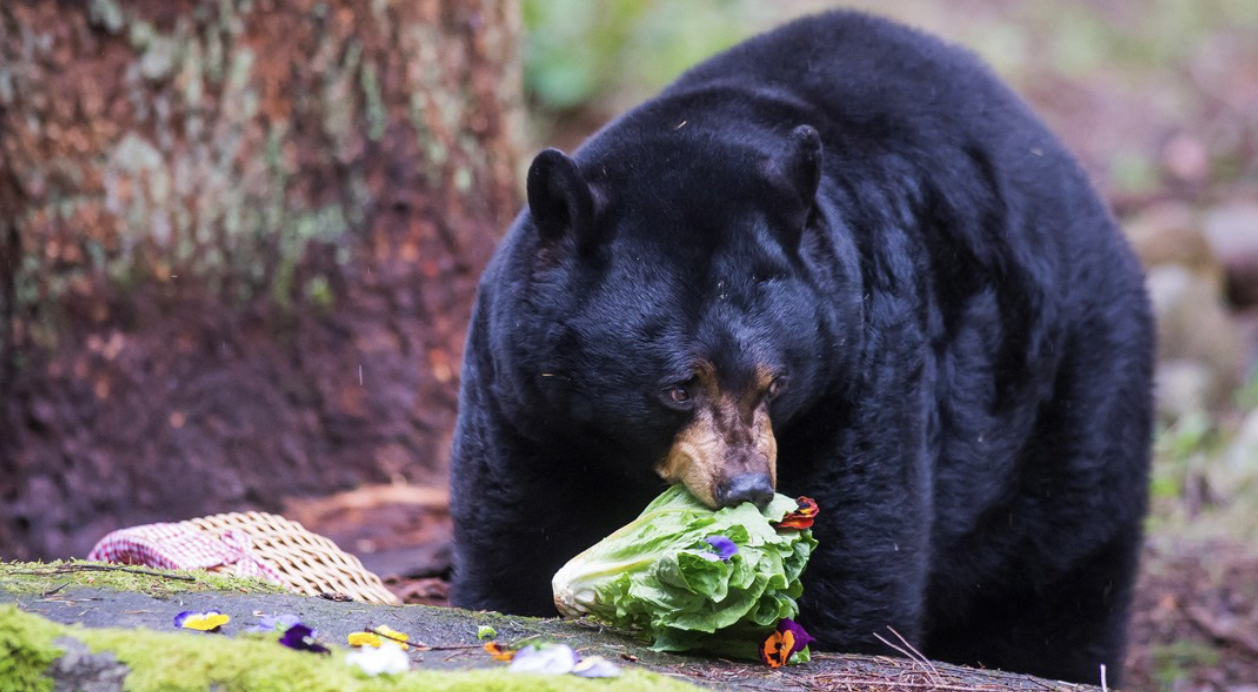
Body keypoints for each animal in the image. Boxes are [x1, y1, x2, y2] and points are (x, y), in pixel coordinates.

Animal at [449, 10, 1153, 686]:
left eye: (777, 382)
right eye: (678, 387)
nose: (748, 488)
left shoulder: (865, 369)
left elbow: (858, 550)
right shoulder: (521, 398)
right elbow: (513, 531)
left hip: (1071, 405)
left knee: (1060, 578)